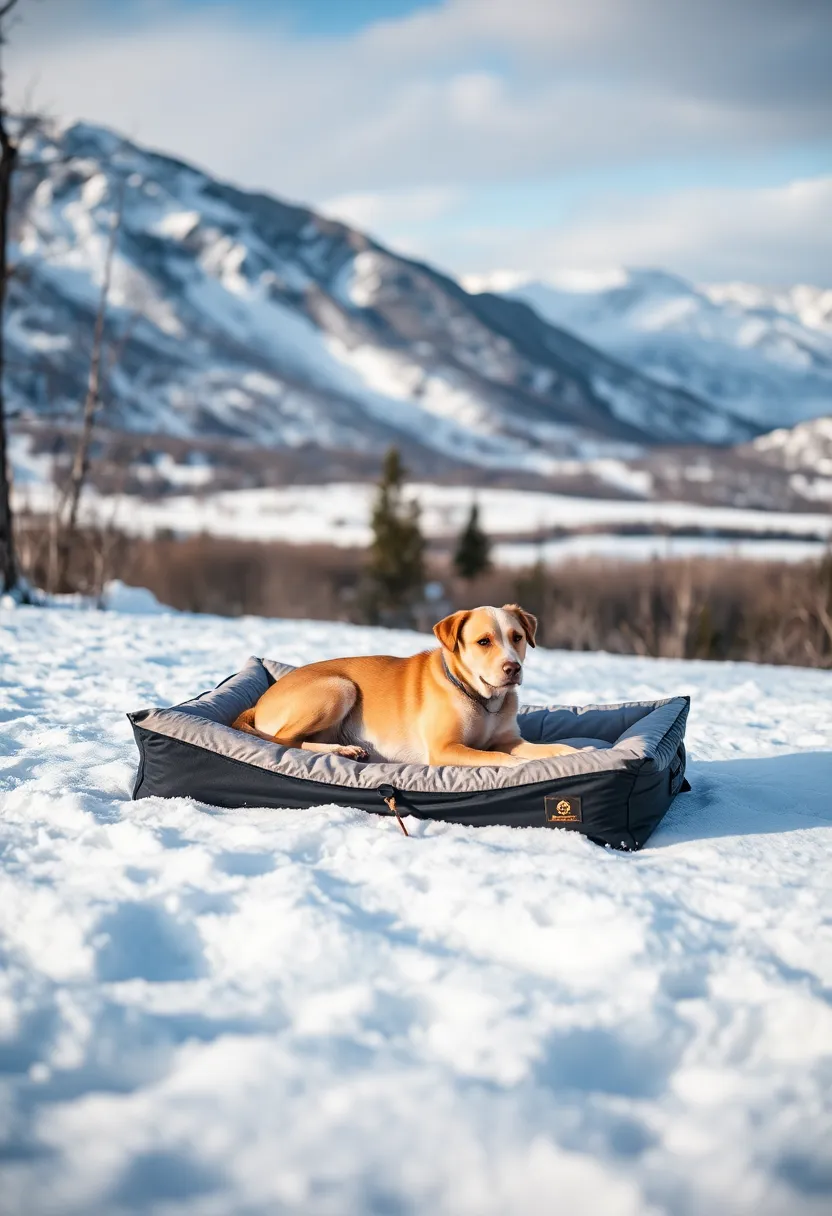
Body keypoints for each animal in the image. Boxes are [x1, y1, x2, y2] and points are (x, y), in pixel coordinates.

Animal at [231, 603, 574, 763]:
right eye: (484, 641)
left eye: (517, 637)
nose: (513, 668)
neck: (483, 700)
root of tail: (259, 703)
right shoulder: (444, 749)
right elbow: (499, 759)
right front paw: (517, 766)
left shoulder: (509, 739)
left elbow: (542, 749)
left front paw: (568, 752)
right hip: (339, 688)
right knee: (286, 740)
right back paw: (342, 751)